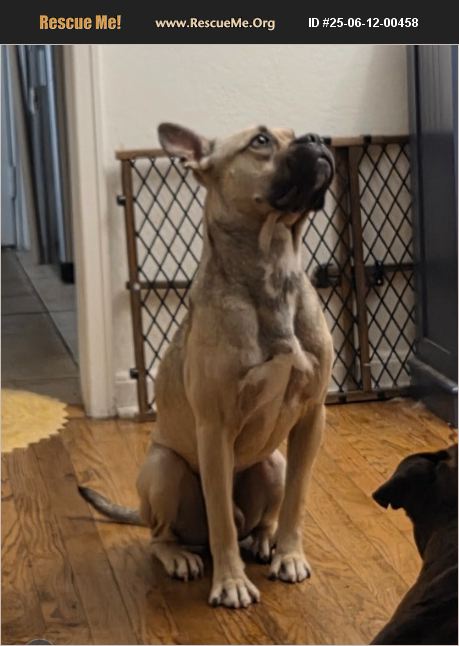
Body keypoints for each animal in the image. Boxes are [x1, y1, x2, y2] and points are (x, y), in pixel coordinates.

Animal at [80, 123, 335, 608]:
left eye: (296, 132)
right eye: (260, 141)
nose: (320, 138)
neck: (272, 265)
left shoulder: (312, 418)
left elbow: (297, 499)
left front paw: (290, 555)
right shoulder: (214, 431)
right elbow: (221, 522)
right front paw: (231, 582)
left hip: (273, 463)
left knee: (261, 517)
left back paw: (266, 539)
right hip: (164, 469)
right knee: (163, 535)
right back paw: (180, 557)